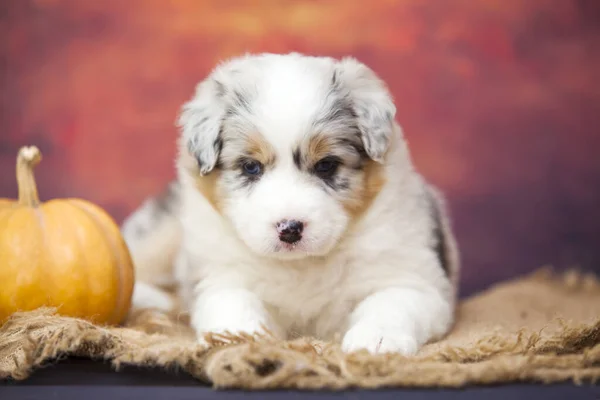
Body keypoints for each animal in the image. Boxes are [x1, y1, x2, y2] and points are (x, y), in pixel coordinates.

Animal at [120, 51, 460, 354]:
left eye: (326, 165)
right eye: (250, 167)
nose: (290, 228)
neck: (301, 264)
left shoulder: (415, 279)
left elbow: (391, 304)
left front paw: (376, 341)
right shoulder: (220, 276)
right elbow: (235, 303)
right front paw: (240, 338)